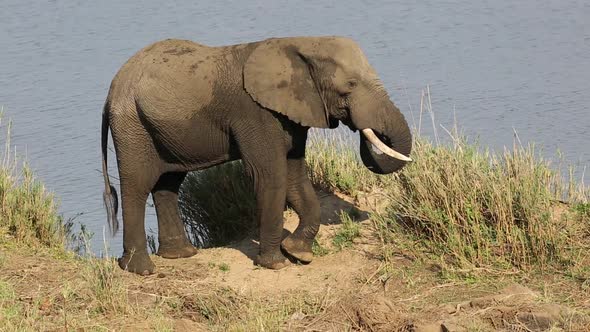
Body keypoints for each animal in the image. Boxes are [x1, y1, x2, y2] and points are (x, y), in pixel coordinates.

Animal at [102, 36, 414, 274]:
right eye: (350, 85)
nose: (362, 127)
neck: (300, 43)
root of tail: (113, 86)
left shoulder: (291, 114)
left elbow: (295, 177)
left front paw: (299, 254)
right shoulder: (255, 114)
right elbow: (270, 176)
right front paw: (276, 264)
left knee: (168, 183)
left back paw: (181, 255)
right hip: (132, 125)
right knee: (137, 185)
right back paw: (141, 269)